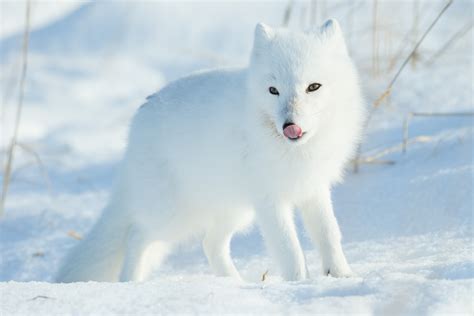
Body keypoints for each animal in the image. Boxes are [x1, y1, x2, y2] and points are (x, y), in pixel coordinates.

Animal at [56, 19, 366, 282]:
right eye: (273, 90)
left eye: (314, 87)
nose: (289, 125)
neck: (296, 152)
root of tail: (140, 115)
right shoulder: (270, 199)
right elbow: (288, 248)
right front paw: (299, 283)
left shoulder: (313, 188)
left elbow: (329, 234)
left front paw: (342, 276)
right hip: (175, 216)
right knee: (136, 235)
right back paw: (131, 282)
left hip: (233, 210)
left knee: (210, 243)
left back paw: (234, 284)